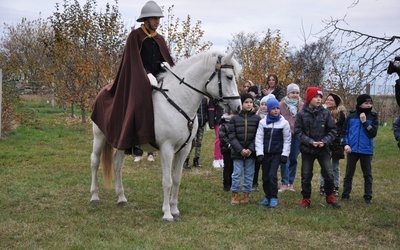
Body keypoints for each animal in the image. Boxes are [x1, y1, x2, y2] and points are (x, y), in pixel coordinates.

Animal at [90, 50, 241, 221]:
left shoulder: (184, 149)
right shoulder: (167, 149)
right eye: (229, 77)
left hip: (122, 140)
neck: (179, 101)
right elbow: (167, 181)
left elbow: (176, 179)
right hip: (99, 136)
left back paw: (121, 197)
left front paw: (174, 209)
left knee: (117, 164)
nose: (238, 107)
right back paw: (94, 196)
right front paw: (167, 214)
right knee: (95, 161)